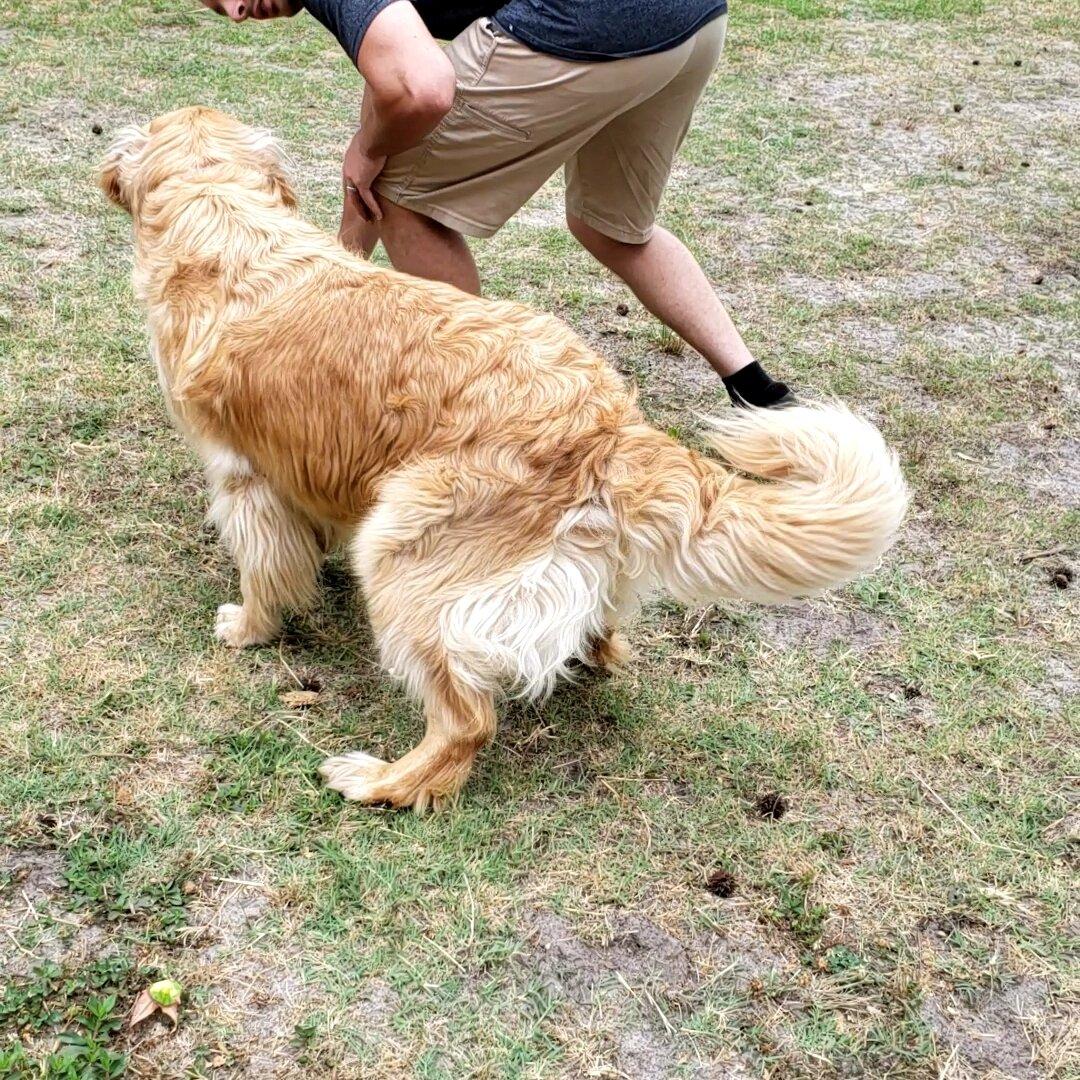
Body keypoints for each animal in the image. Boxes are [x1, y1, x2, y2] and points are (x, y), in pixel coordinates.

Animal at [103, 107, 911, 812]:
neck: (223, 211)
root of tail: (611, 427)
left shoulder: (242, 475)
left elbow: (264, 566)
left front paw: (248, 627)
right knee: (595, 635)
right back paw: (591, 653)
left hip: (402, 554)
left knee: (466, 722)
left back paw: (382, 782)